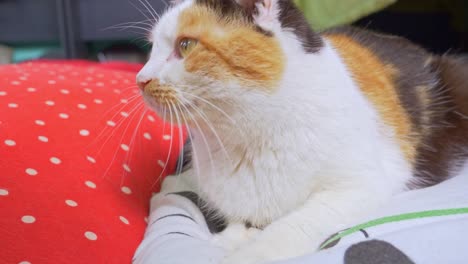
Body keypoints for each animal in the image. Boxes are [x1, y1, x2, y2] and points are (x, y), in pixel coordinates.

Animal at [136, 0, 468, 262]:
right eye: (152, 47)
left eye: (185, 45)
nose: (140, 79)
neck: (247, 137)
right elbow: (237, 222)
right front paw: (229, 240)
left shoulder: (359, 184)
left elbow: (289, 227)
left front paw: (249, 253)